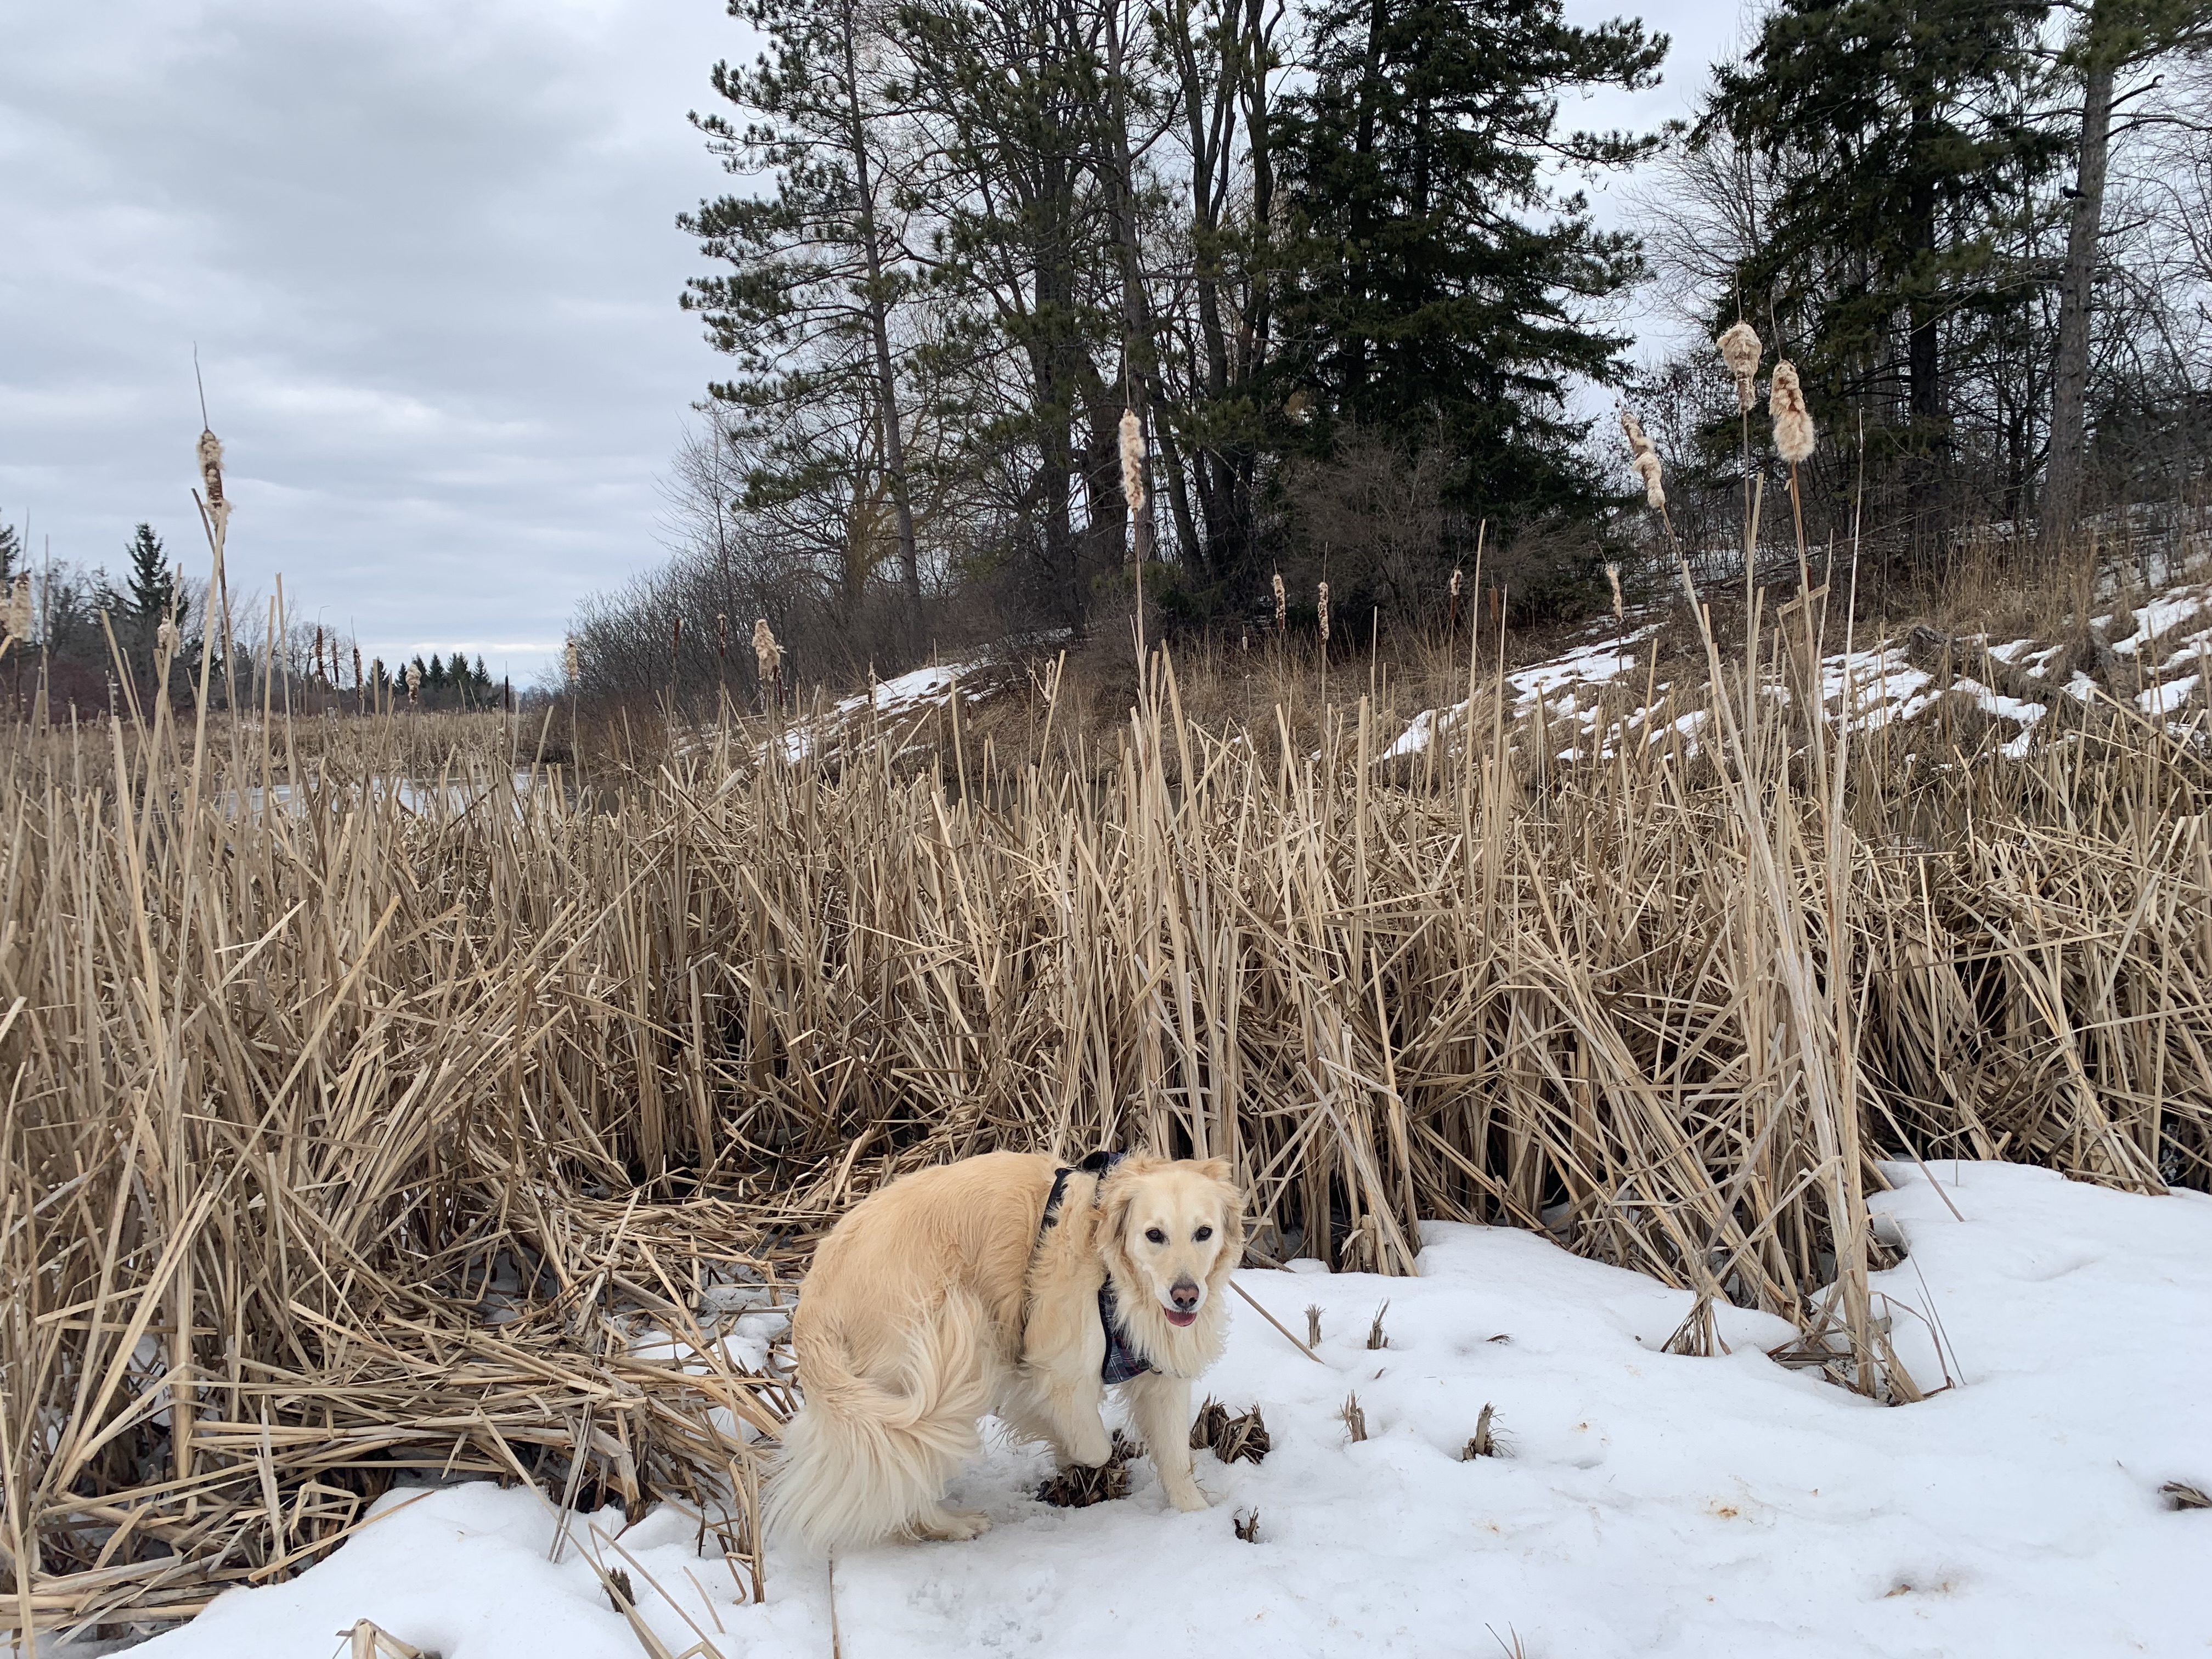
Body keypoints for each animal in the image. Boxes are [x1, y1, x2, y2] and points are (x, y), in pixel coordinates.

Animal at [766, 1149, 1244, 1552]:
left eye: (1204, 1233)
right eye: (1154, 1235)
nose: (1186, 1296)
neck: (1112, 1269)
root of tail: (811, 1306)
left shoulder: (1160, 1375)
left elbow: (1175, 1458)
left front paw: (1195, 1516)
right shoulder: (1061, 1370)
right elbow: (1095, 1447)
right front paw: (1067, 1448)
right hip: (943, 1367)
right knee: (907, 1467)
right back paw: (953, 1526)